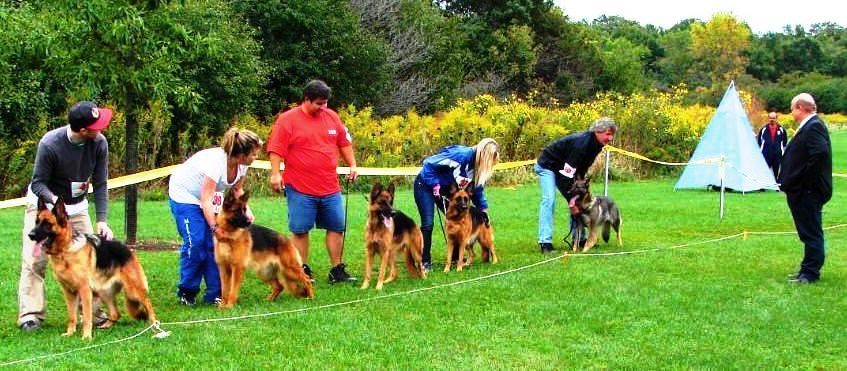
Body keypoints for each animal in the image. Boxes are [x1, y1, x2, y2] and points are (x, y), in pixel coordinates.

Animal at [28, 199, 157, 342]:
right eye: (36, 222)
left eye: (47, 224)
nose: (30, 235)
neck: (65, 251)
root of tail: (128, 249)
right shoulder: (68, 292)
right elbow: (72, 316)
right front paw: (70, 333)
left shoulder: (84, 290)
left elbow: (87, 316)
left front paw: (86, 336)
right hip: (103, 291)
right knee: (115, 313)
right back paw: (106, 325)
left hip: (132, 290)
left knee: (148, 303)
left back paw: (154, 324)